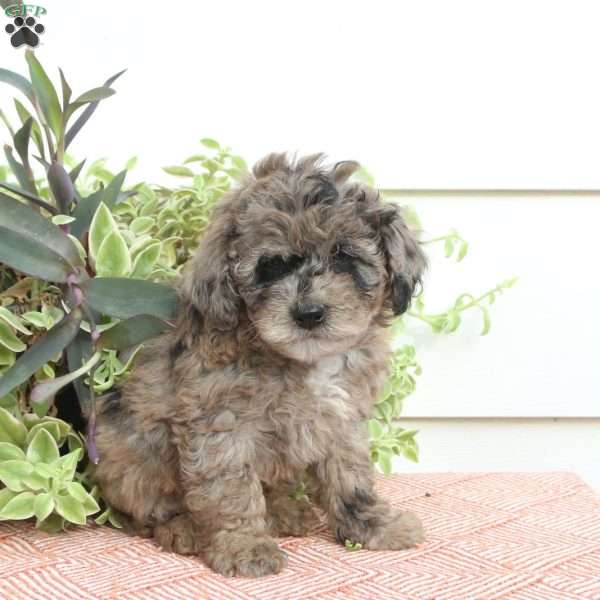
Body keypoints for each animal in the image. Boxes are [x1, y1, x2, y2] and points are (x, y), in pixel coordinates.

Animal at [92, 152, 426, 576]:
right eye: (272, 265)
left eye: (343, 255)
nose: (309, 313)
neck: (302, 359)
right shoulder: (221, 424)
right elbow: (231, 489)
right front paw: (244, 546)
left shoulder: (343, 417)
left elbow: (351, 477)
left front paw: (373, 525)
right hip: (129, 449)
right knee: (146, 508)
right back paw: (182, 527)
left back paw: (284, 511)